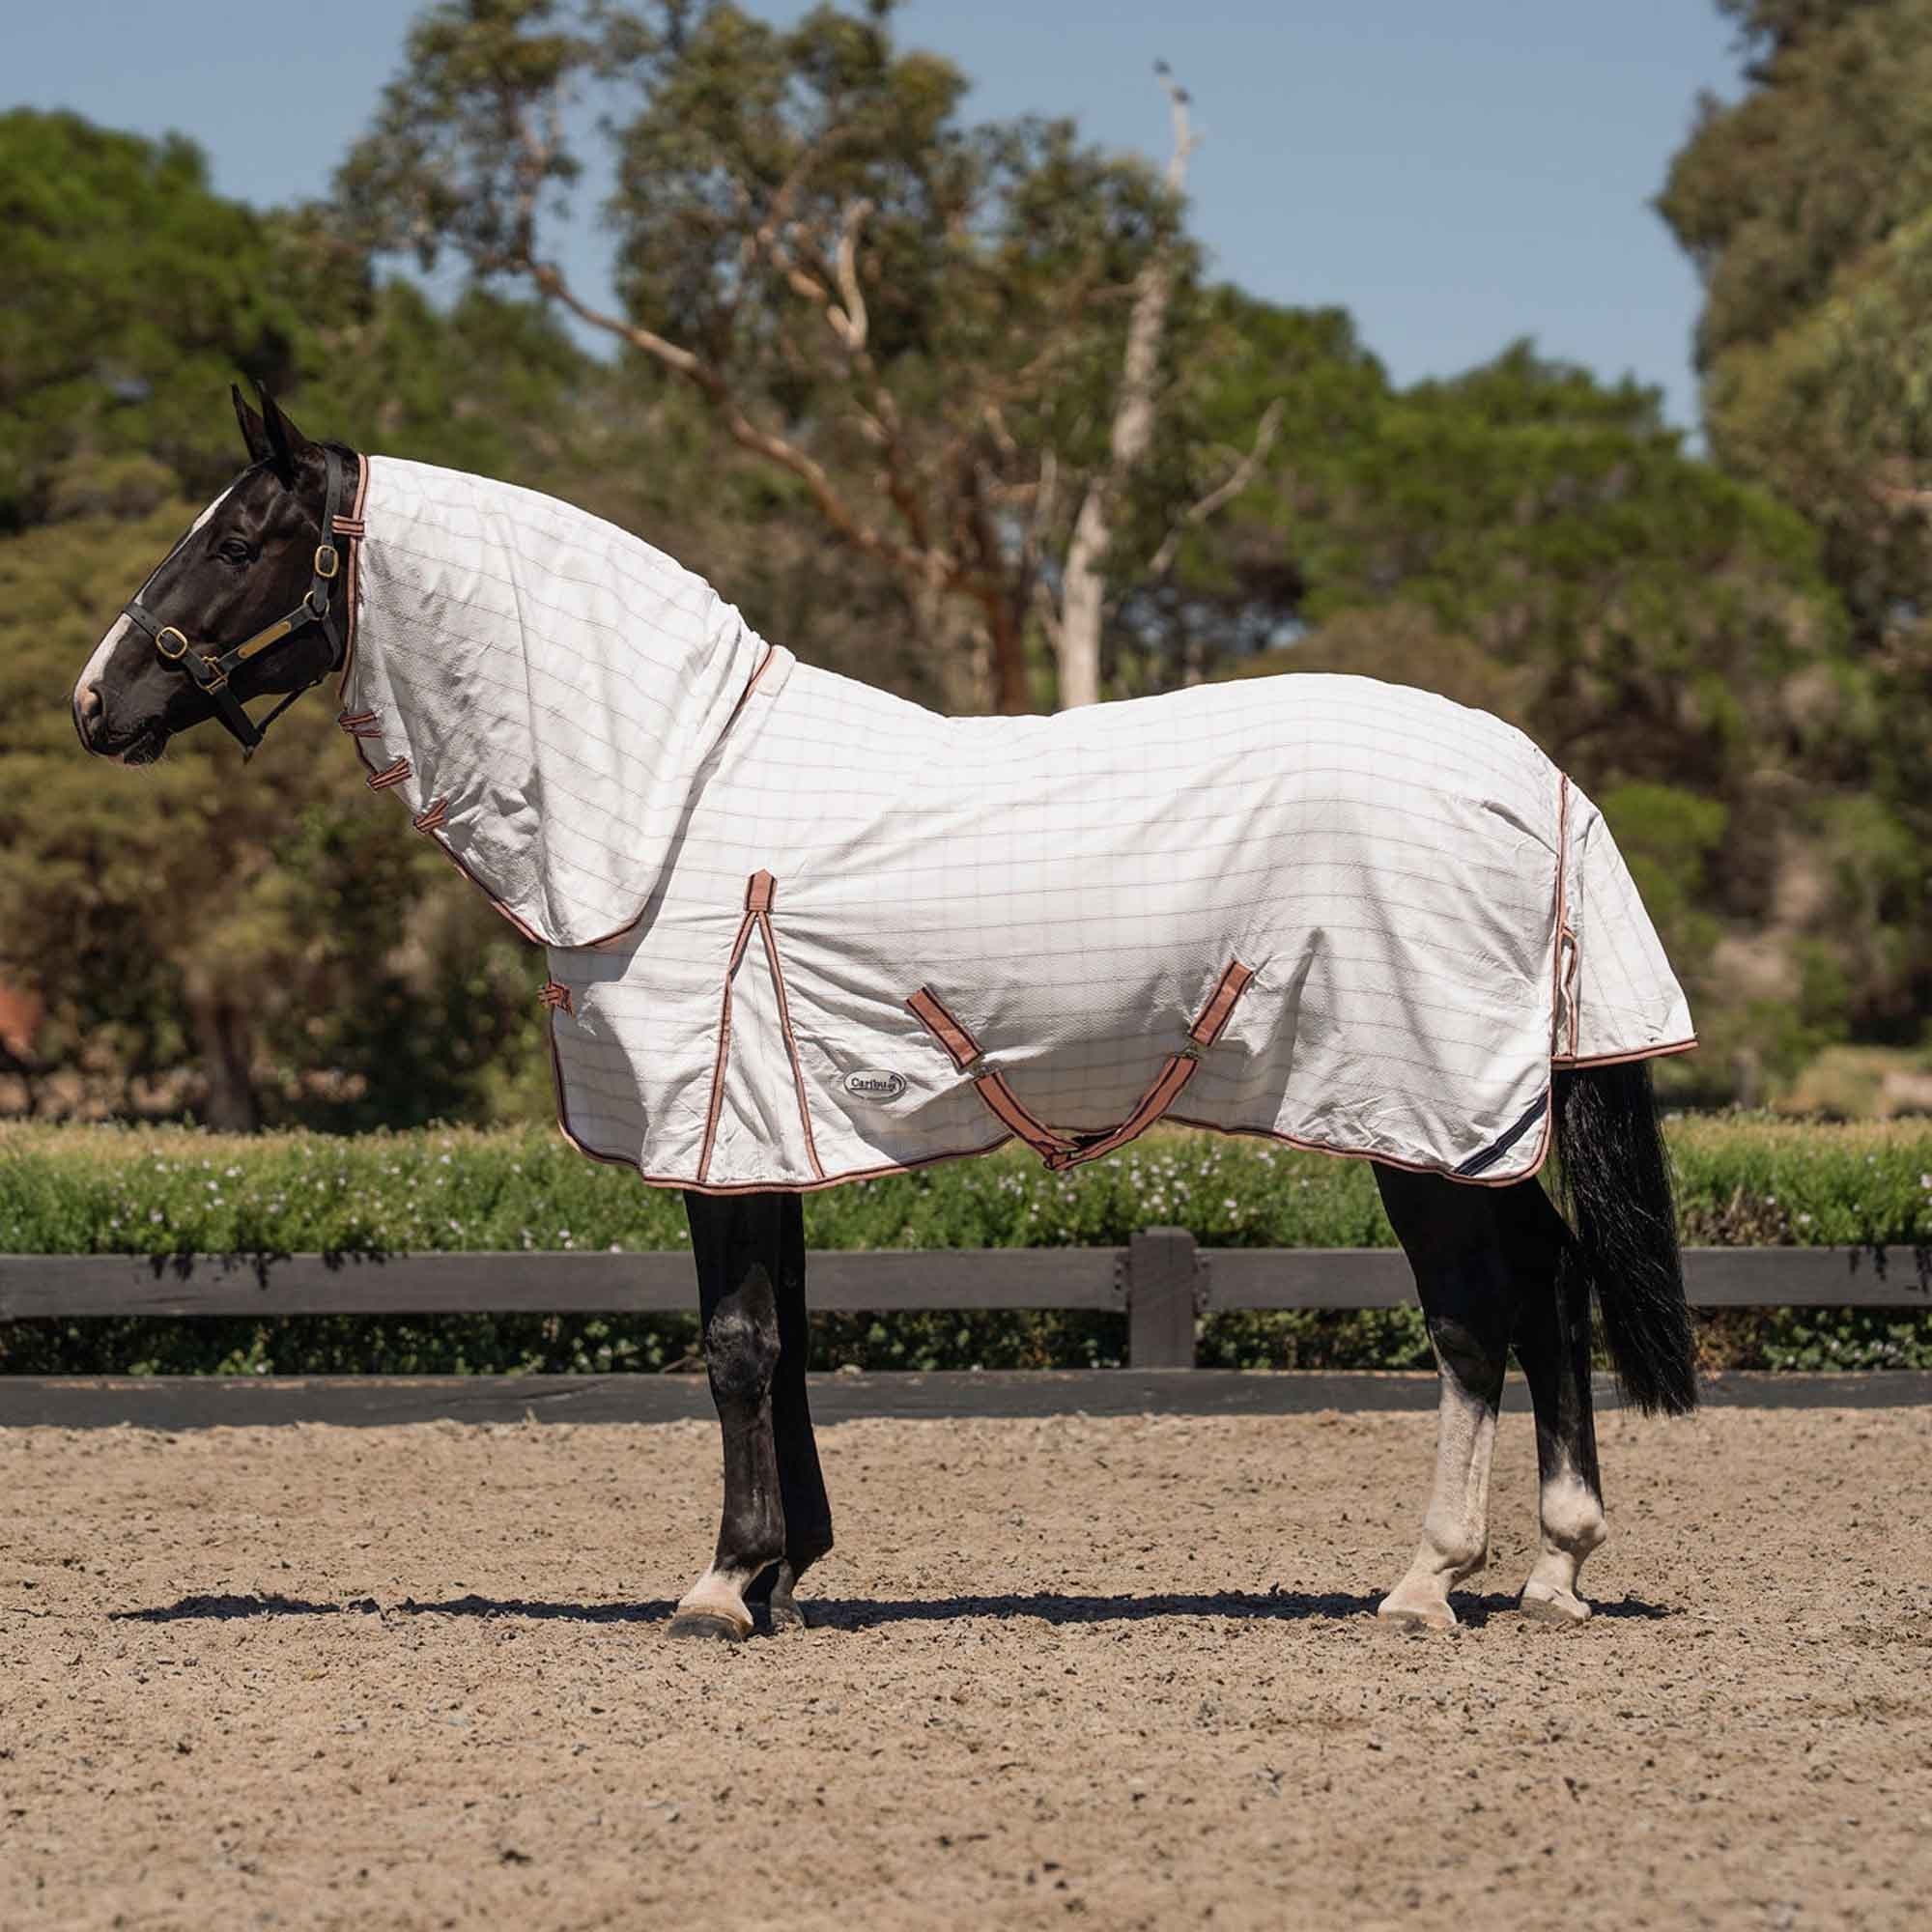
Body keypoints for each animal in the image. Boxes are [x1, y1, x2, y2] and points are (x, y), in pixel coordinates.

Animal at [72, 387, 1699, 1639]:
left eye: (236, 537)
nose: (96, 702)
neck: (664, 793)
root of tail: (1531, 776)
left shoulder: (716, 1125)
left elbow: (735, 1342)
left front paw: (721, 1589)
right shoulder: (762, 1131)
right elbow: (784, 1337)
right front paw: (785, 1574)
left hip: (1413, 1114)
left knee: (1474, 1315)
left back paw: (1428, 1582)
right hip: (1463, 1120)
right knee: (1551, 1280)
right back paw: (1557, 1569)